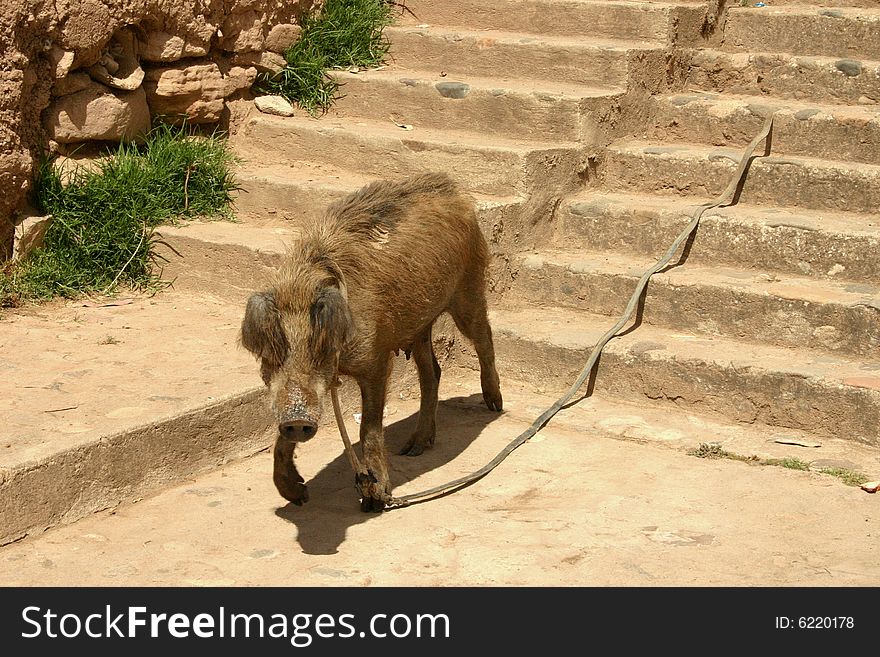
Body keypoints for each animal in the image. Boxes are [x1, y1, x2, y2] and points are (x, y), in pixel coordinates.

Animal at [332, 114, 776, 508]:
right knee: (433, 371)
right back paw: (415, 447)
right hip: (423, 317)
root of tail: (458, 193)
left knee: (481, 337)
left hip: (466, 288)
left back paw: (493, 403)